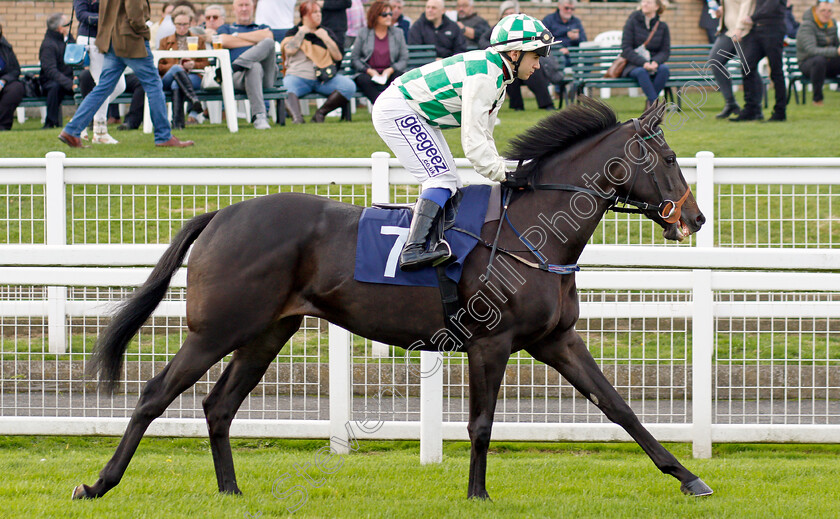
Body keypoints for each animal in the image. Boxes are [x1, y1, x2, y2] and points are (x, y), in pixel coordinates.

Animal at [72, 96, 712, 500]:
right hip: (216, 329)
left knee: (218, 406)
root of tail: (222, 214)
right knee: (155, 394)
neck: (531, 230)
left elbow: (620, 407)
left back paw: (230, 490)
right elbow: (481, 422)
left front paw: (688, 478)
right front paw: (478, 494)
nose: (696, 219)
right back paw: (99, 483)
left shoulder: (556, 339)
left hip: (266, 332)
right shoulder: (493, 343)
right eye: (669, 159)